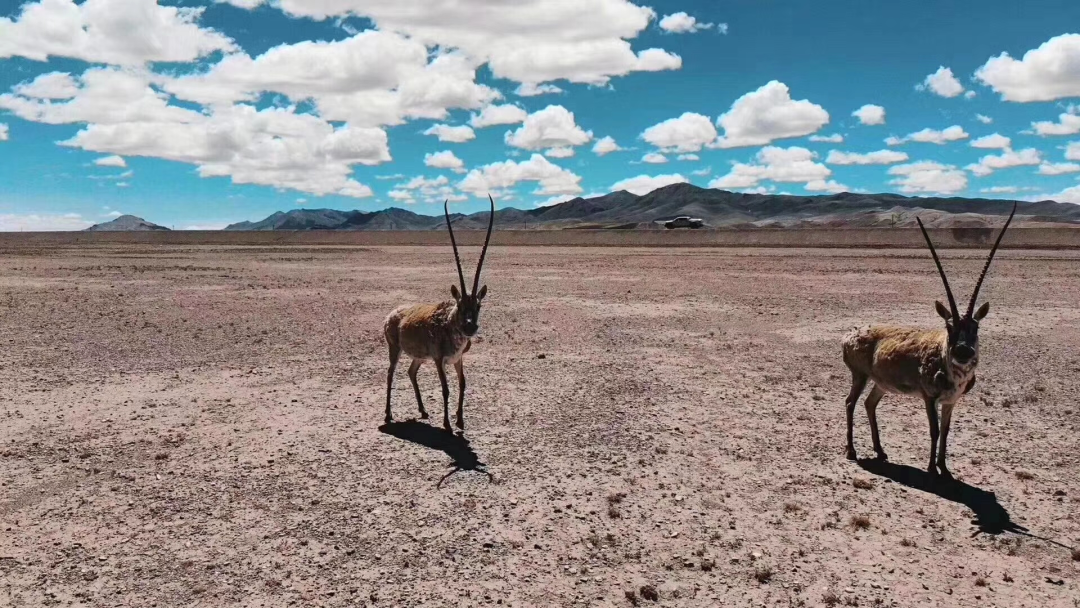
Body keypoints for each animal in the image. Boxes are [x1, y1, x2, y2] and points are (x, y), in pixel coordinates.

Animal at [382, 197, 494, 429]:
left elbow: (462, 384)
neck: (449, 324)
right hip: (395, 349)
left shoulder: (458, 359)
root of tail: (391, 315)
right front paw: (447, 425)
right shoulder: (438, 360)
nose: (469, 327)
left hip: (419, 357)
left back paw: (423, 411)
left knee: (411, 371)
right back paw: (388, 414)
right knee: (390, 374)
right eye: (459, 305)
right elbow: (445, 389)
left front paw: (460, 420)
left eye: (478, 306)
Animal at [842, 201, 1010, 477]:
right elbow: (934, 430)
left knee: (869, 404)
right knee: (850, 403)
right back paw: (852, 451)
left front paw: (945, 468)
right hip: (860, 375)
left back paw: (880, 451)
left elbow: (946, 431)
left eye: (975, 327)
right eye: (949, 326)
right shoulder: (929, 397)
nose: (963, 352)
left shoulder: (950, 401)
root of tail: (850, 334)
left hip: (880, 383)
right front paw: (932, 468)